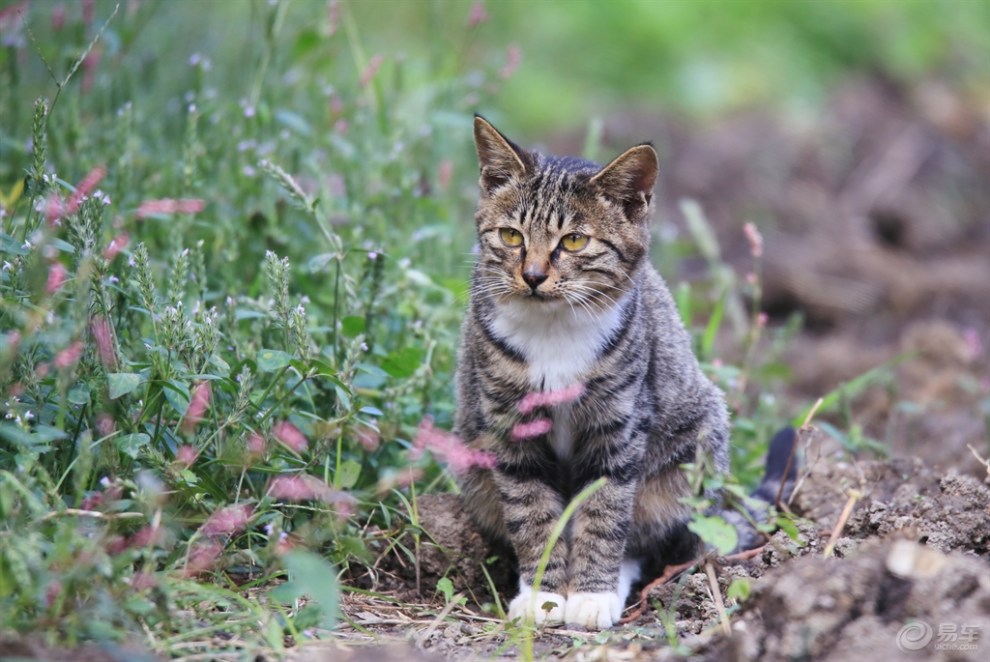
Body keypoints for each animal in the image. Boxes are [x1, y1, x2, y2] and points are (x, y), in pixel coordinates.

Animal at [454, 116, 732, 632]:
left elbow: (605, 510)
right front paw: (542, 594)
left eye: (574, 241)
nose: (533, 275)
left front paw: (590, 595)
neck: (553, 329)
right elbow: (531, 510)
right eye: (511, 236)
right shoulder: (510, 423)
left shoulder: (618, 423)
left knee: (642, 537)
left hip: (690, 451)